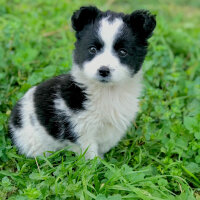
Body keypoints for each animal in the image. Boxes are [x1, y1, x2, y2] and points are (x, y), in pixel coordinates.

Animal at [9, 6, 156, 159]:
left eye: (123, 52)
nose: (103, 70)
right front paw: (97, 163)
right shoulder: (80, 130)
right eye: (92, 49)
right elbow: (90, 155)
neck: (107, 92)